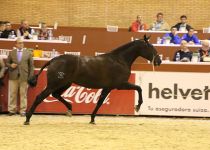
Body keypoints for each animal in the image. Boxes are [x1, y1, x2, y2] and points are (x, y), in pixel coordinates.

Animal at [25, 34, 162, 124]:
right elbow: (139, 88)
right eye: (151, 47)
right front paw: (138, 106)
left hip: (65, 84)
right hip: (55, 84)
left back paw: (69, 108)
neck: (119, 60)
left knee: (56, 95)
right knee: (40, 97)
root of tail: (53, 60)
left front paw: (92, 119)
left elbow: (99, 102)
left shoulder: (107, 88)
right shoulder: (120, 85)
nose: (159, 61)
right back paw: (27, 118)